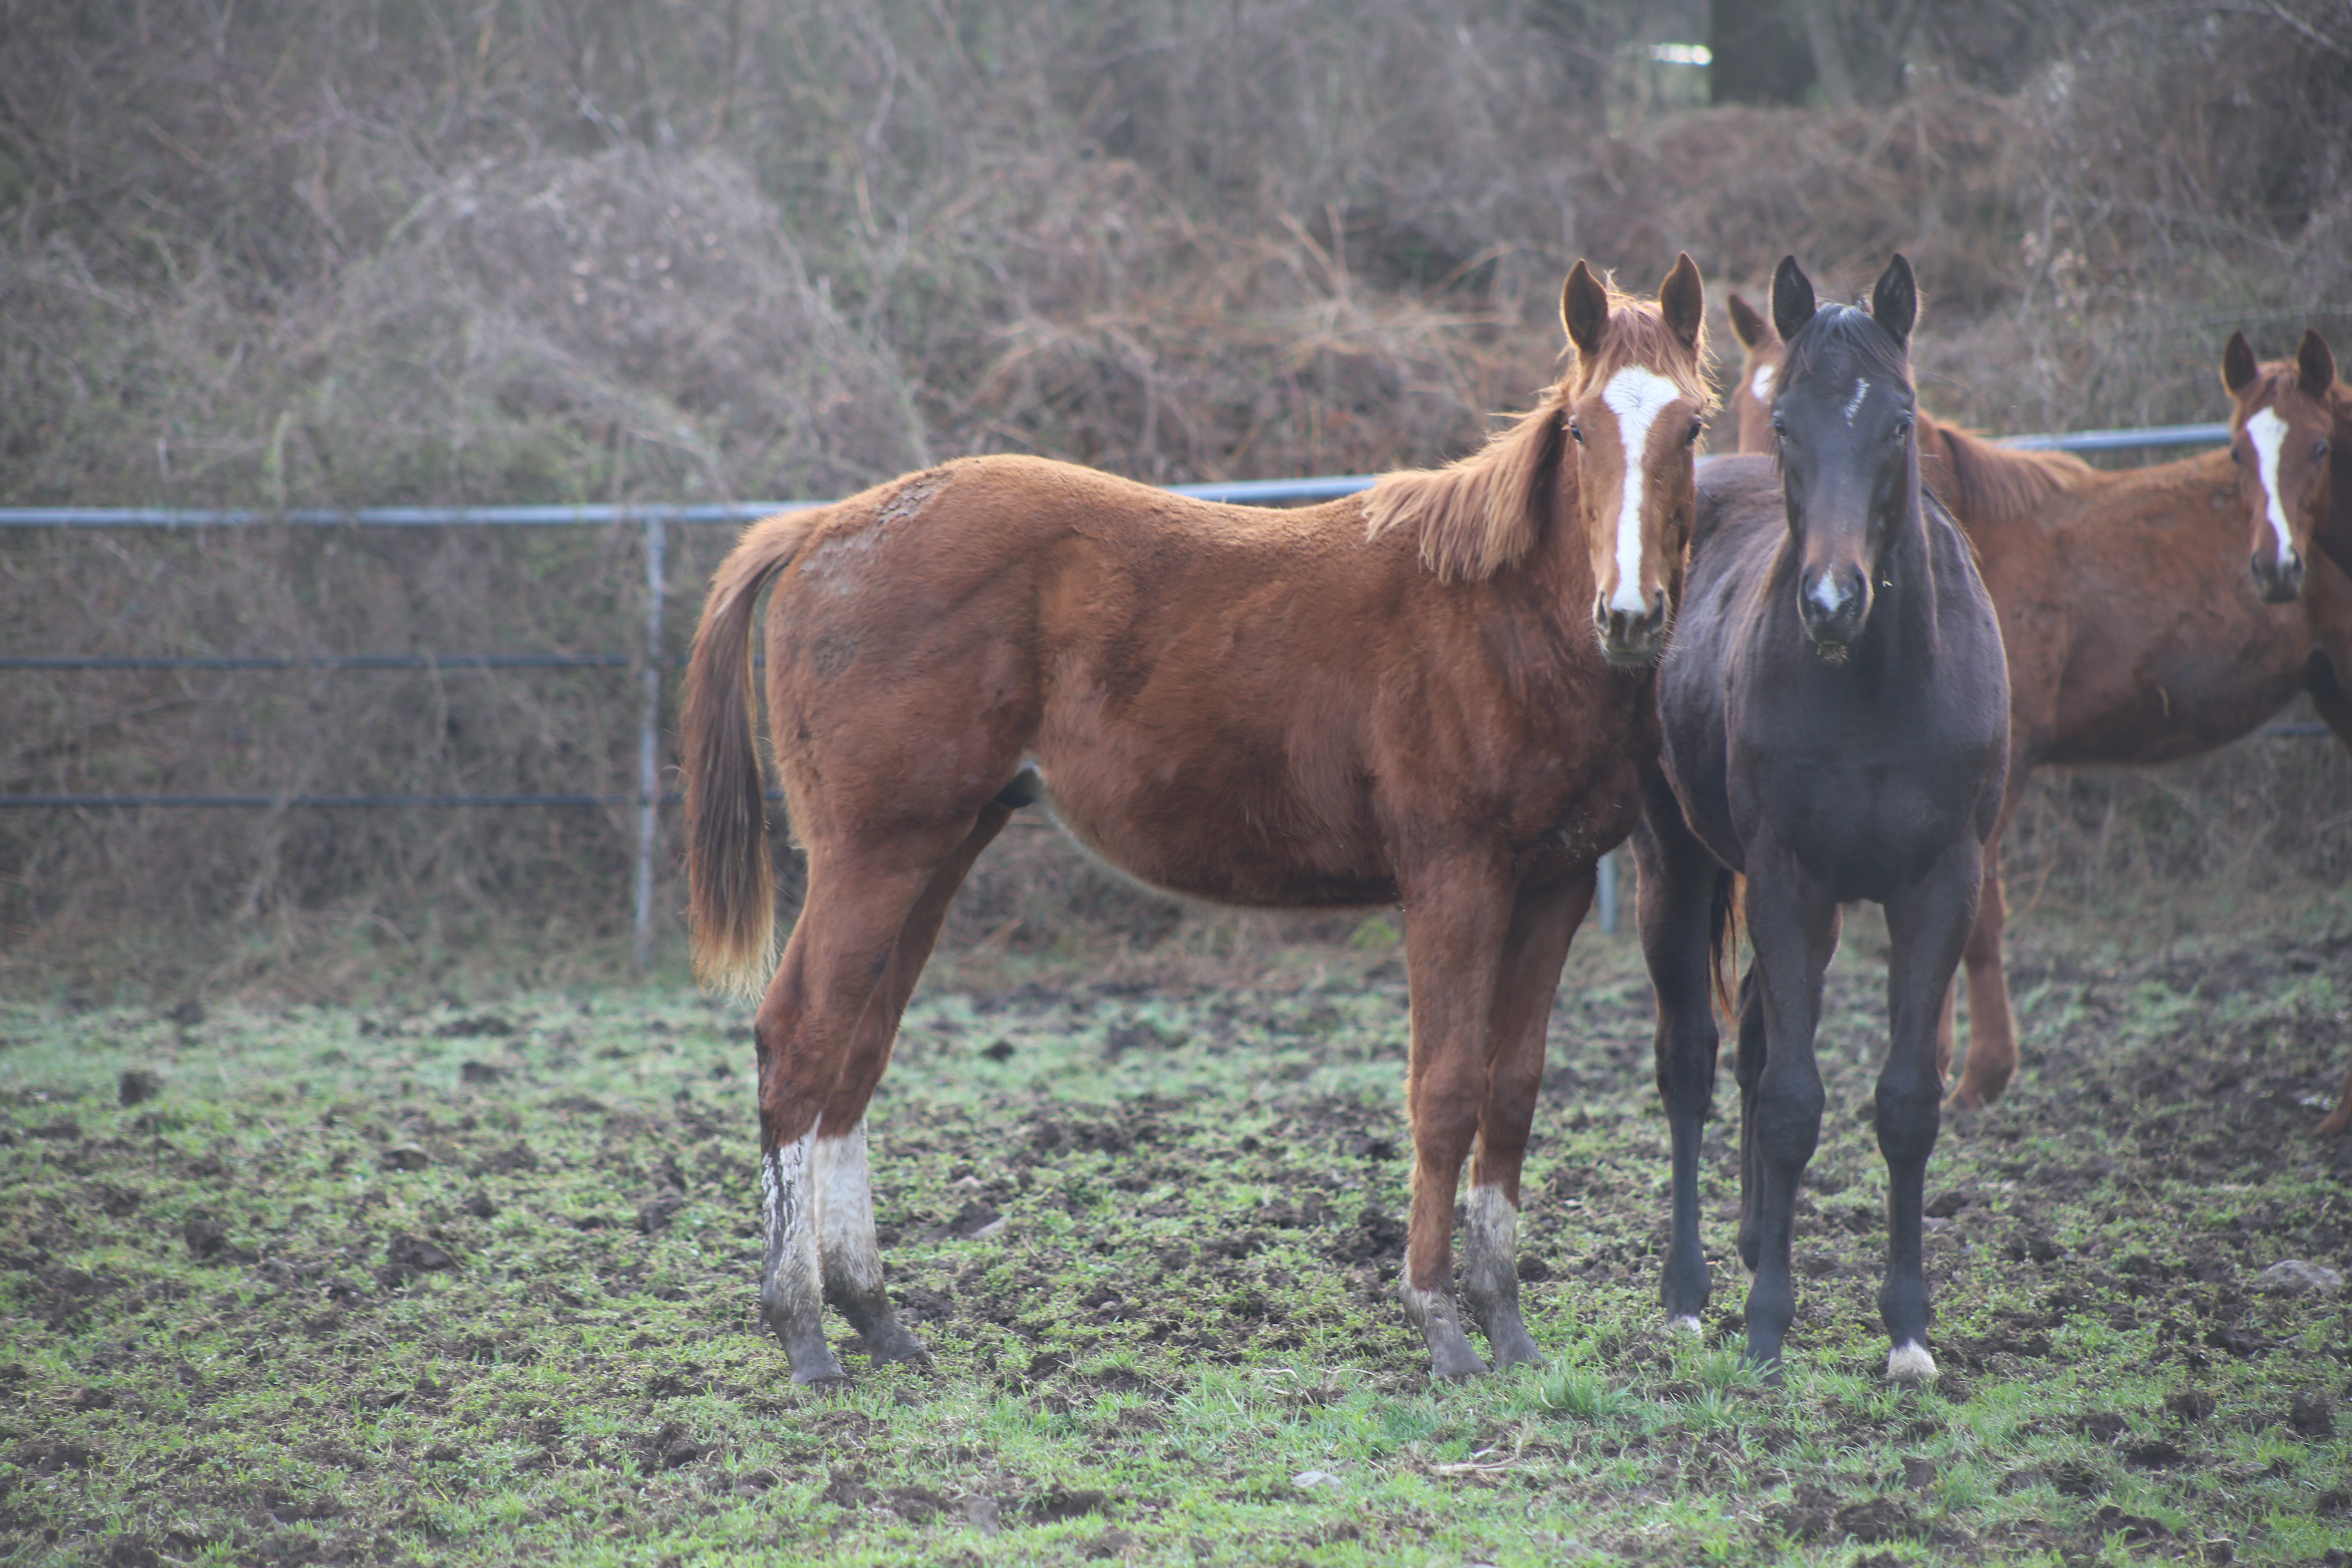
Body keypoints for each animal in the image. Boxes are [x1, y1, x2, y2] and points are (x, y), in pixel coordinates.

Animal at [682, 255, 1712, 1382]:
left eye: (1692, 425)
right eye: (1578, 428)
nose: (1630, 615)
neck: (1497, 622)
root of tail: (818, 529)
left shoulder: (1553, 887)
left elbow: (1513, 1094)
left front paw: (1508, 1324)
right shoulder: (1454, 880)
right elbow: (1443, 1095)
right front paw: (1441, 1323)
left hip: (937, 850)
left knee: (855, 1059)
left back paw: (872, 1312)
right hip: (873, 854)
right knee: (800, 1043)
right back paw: (803, 1329)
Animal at [1637, 261, 2004, 1382]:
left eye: (1899, 421)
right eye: (1789, 424)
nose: (1832, 600)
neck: (1877, 682)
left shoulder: (1939, 882)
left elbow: (1905, 1103)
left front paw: (1907, 1332)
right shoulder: (1787, 875)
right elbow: (1796, 1098)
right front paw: (1765, 1323)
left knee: (1756, 1032)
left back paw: (1760, 1238)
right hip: (1676, 866)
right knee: (1692, 1060)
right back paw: (1689, 1293)